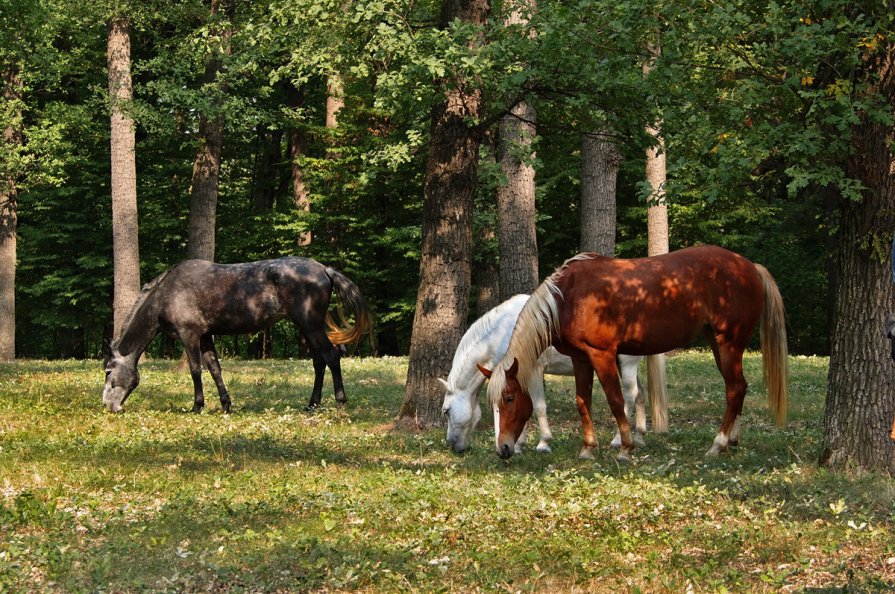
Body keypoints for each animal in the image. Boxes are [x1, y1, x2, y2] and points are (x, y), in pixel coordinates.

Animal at [103, 256, 372, 414]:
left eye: (108, 372)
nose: (108, 406)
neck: (167, 293)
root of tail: (324, 269)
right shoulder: (205, 337)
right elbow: (214, 369)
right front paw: (225, 405)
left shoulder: (189, 335)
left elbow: (195, 370)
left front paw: (197, 406)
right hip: (307, 328)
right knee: (319, 362)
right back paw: (312, 403)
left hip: (311, 326)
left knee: (331, 357)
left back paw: (339, 401)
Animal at [438, 294, 668, 450]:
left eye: (446, 411)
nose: (451, 444)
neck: (504, 331)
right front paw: (519, 444)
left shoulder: (533, 371)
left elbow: (539, 407)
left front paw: (543, 442)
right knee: (639, 395)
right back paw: (639, 436)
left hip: (627, 365)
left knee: (628, 397)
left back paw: (618, 439)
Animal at [484, 243, 792, 460]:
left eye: (510, 397)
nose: (503, 449)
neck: (568, 297)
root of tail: (749, 266)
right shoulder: (581, 358)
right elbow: (583, 401)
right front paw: (588, 449)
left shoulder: (602, 355)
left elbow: (616, 400)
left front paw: (625, 447)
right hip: (718, 343)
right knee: (739, 388)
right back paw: (731, 441)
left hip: (729, 343)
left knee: (735, 389)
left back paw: (717, 444)